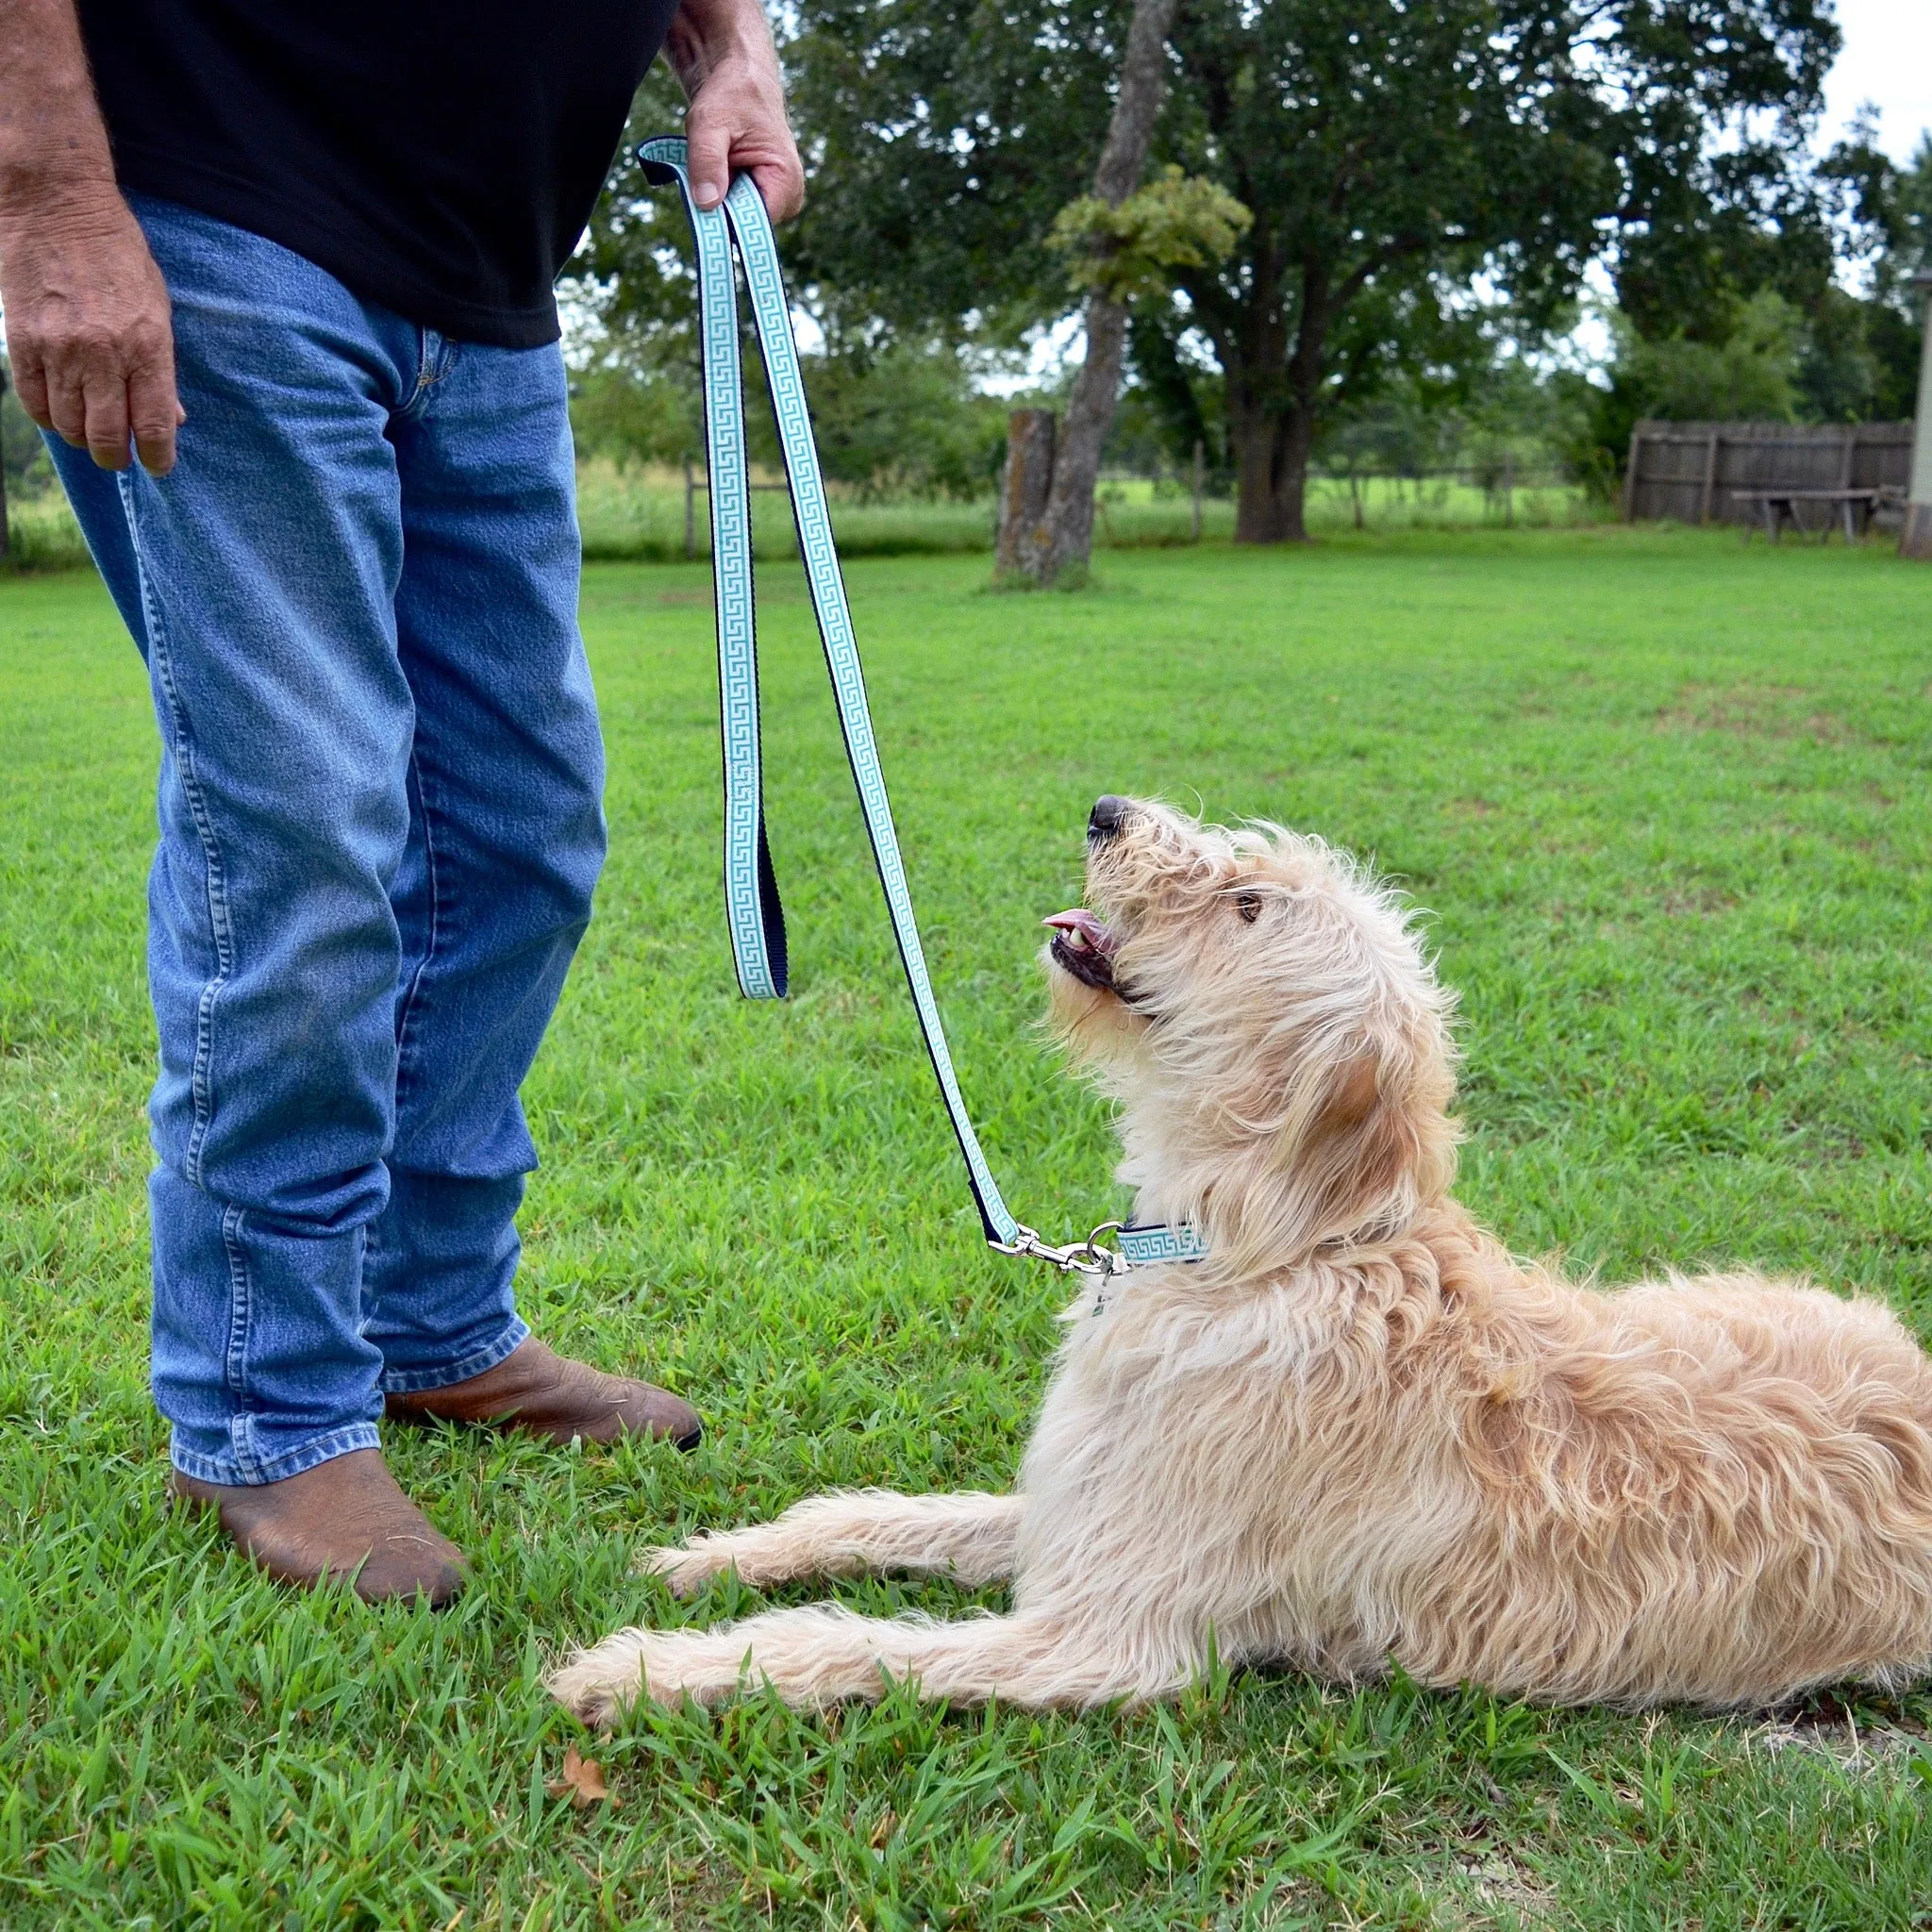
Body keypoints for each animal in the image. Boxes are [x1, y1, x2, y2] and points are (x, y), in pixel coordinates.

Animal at [548, 799, 1932, 1723]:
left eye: (1250, 905)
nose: (1106, 809)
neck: (1258, 1248)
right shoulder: (1082, 1501)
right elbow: (875, 1513)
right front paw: (716, 1556)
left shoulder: (1109, 1628)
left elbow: (848, 1645)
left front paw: (640, 1667)